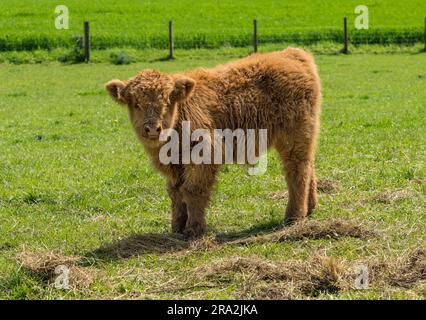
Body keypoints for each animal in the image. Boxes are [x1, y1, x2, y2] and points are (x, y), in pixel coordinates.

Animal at [105, 47, 320, 238]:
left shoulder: (204, 155)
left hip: (294, 135)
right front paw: (177, 227)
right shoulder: (175, 167)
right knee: (308, 166)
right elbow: (176, 194)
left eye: (167, 102)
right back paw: (310, 207)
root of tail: (292, 53)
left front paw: (194, 229)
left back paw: (294, 216)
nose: (152, 128)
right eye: (136, 104)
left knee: (296, 171)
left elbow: (192, 190)